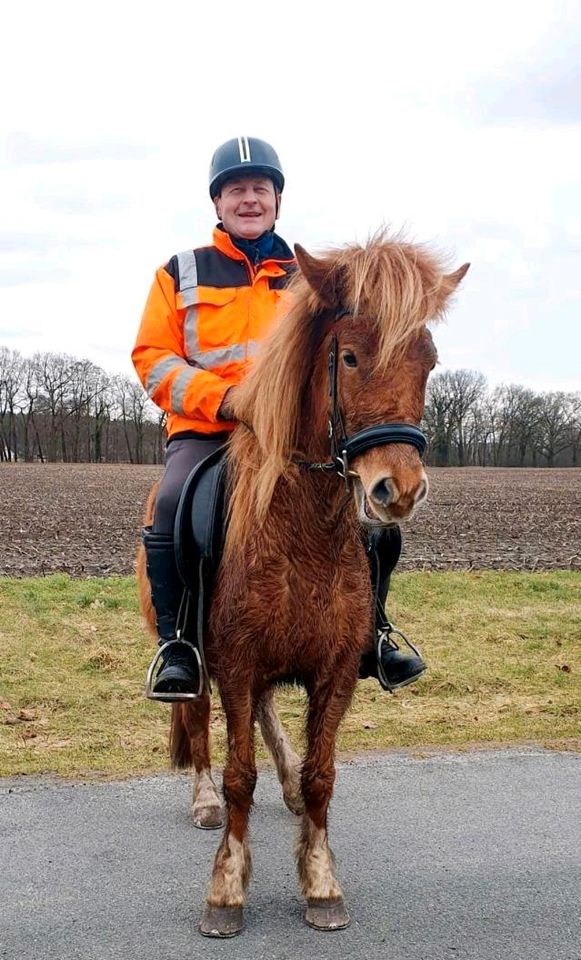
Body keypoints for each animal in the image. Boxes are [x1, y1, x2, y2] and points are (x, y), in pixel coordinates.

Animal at [138, 232, 468, 936]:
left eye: (428, 360)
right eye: (348, 356)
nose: (397, 489)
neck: (304, 533)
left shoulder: (336, 670)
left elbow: (322, 776)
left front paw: (320, 881)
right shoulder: (235, 662)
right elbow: (238, 776)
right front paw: (226, 888)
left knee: (266, 716)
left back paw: (284, 781)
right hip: (193, 653)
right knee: (198, 720)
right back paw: (203, 799)